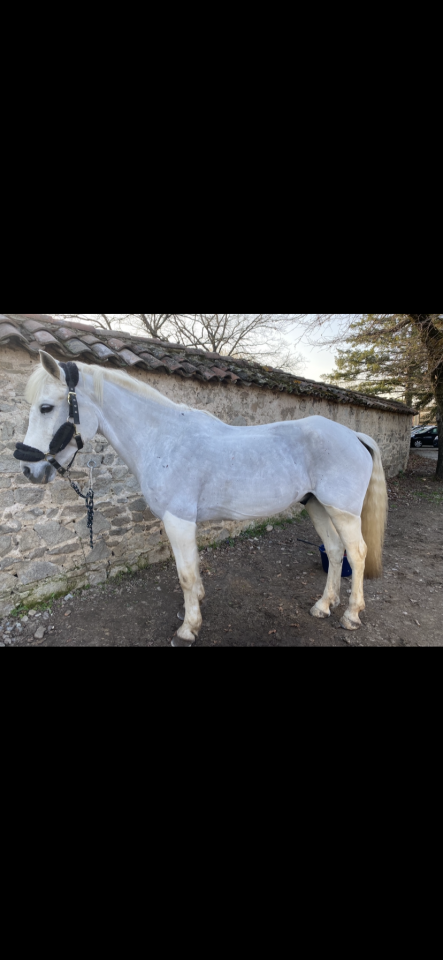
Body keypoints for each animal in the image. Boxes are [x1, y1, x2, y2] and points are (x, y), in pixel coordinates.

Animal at [18, 351, 388, 646]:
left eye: (46, 407)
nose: (28, 469)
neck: (163, 439)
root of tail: (353, 435)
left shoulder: (178, 520)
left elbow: (185, 574)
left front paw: (188, 628)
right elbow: (194, 572)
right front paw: (196, 606)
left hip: (342, 511)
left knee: (357, 554)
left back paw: (351, 615)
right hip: (317, 505)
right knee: (336, 551)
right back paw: (323, 606)